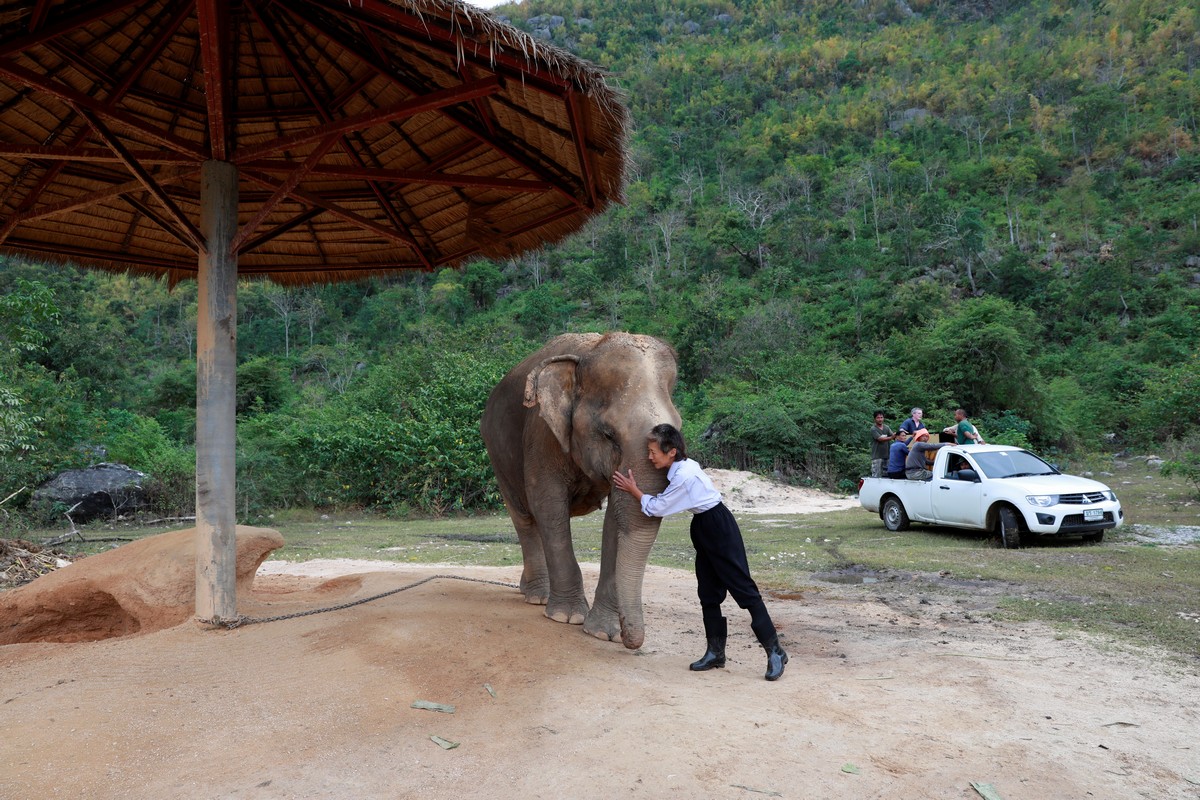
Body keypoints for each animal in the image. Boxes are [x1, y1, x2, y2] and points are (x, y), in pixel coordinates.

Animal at [480, 331, 686, 652]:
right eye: (609, 434)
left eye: (678, 426)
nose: (629, 639)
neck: (588, 353)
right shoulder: (542, 432)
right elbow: (548, 505)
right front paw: (567, 618)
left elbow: (616, 518)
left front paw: (604, 633)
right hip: (496, 451)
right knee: (524, 517)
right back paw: (538, 597)